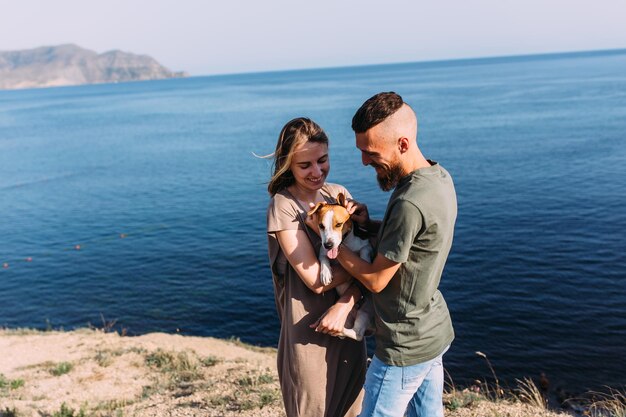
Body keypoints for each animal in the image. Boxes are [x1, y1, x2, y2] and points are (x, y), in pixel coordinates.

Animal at [306, 193, 372, 340]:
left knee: (357, 334)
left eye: (339, 224)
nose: (328, 245)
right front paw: (325, 273)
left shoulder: (366, 244)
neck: (345, 243)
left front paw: (365, 260)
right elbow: (323, 259)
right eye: (321, 226)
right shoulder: (322, 251)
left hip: (365, 311)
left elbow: (364, 251)